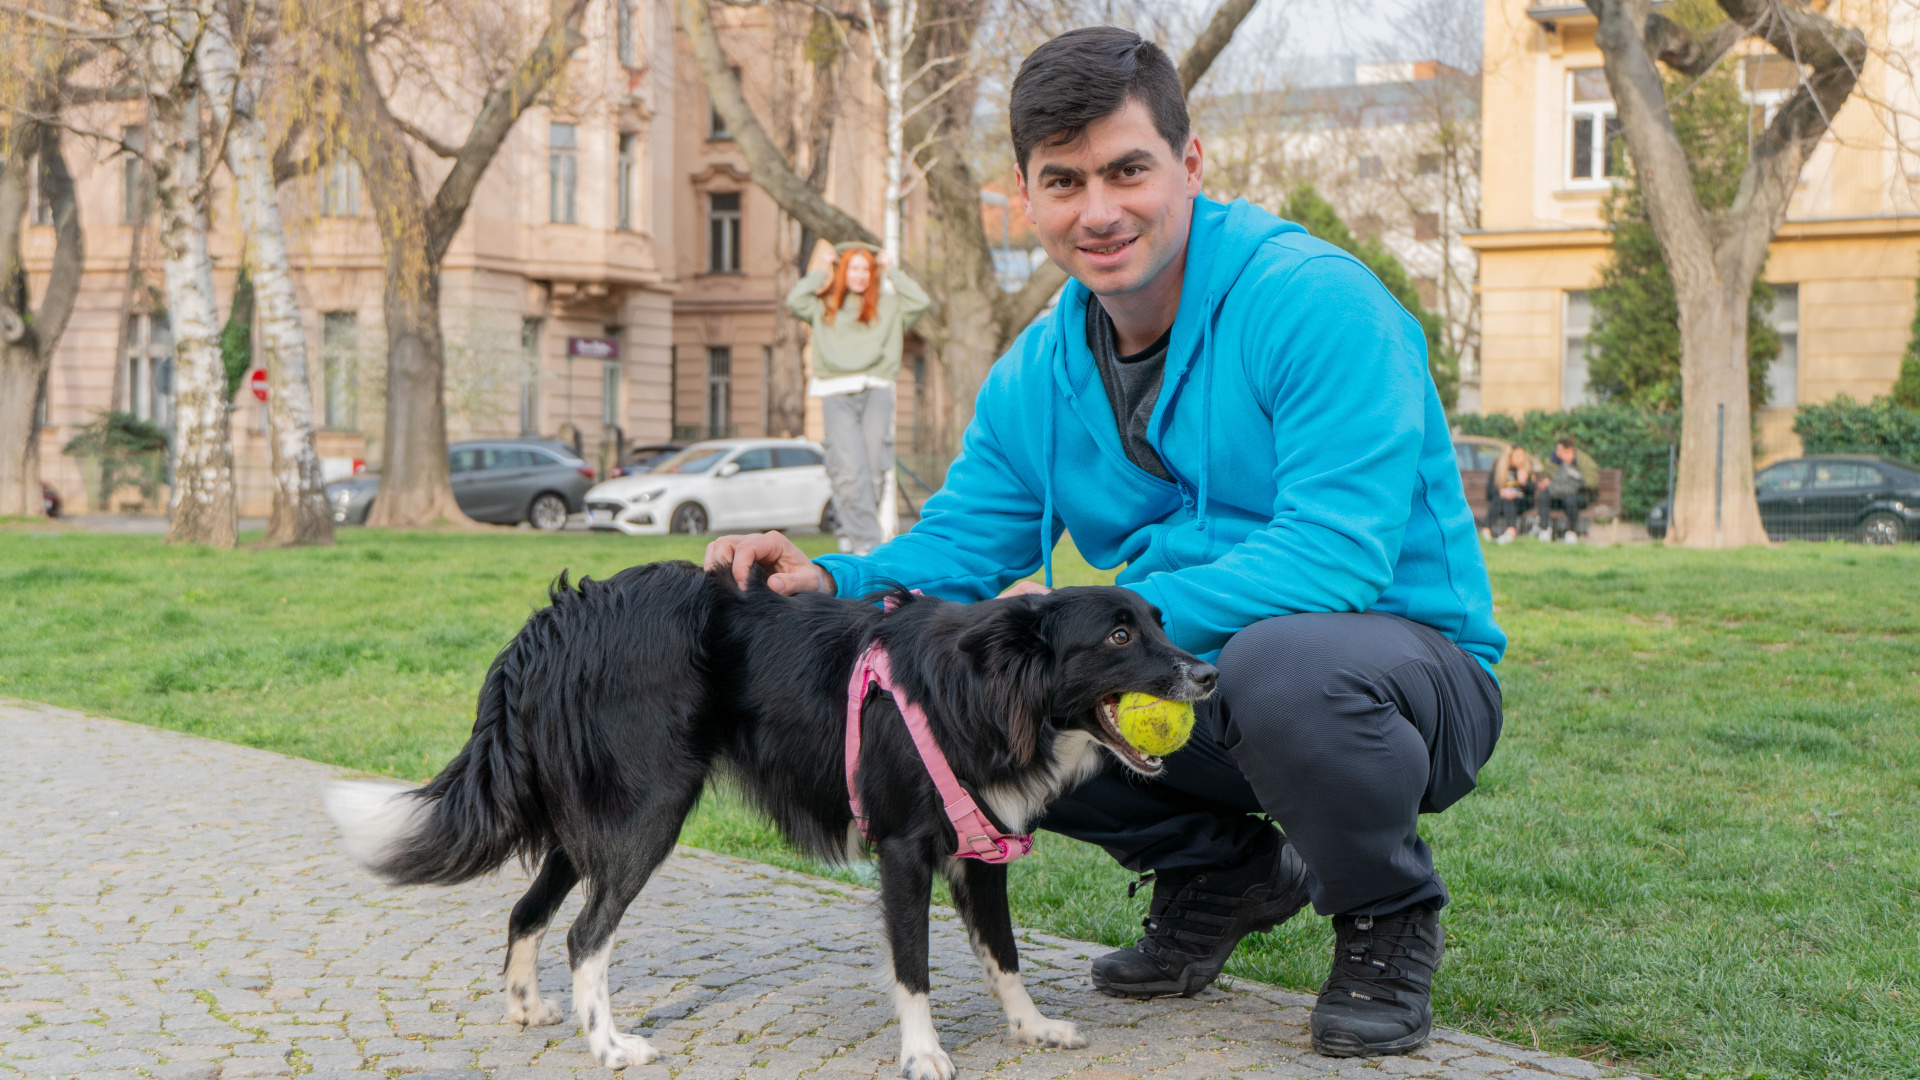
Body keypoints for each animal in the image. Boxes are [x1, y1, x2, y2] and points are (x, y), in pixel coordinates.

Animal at [322, 564, 1205, 1076]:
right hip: (649, 810)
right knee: (584, 935)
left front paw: (1031, 1029)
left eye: (1159, 621)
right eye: (1119, 634)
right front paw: (923, 1054)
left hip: (592, 820)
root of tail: (561, 617)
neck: (985, 685)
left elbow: (1005, 955)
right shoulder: (904, 850)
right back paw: (608, 1044)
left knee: (527, 910)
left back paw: (527, 1007)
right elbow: (914, 966)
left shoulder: (982, 850)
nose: (1205, 672)